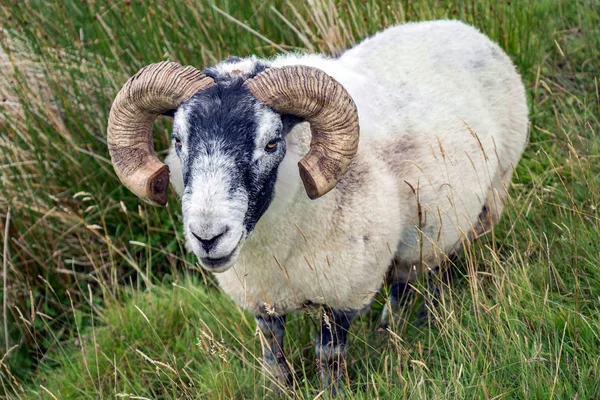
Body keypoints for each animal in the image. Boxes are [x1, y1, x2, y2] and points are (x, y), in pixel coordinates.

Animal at [105, 20, 528, 392]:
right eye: (178, 140)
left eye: (272, 143)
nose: (208, 237)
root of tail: (460, 26)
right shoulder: (262, 297)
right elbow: (272, 356)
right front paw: (278, 389)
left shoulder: (344, 290)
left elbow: (329, 356)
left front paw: (334, 391)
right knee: (404, 280)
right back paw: (388, 335)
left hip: (484, 197)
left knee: (437, 269)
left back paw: (425, 320)